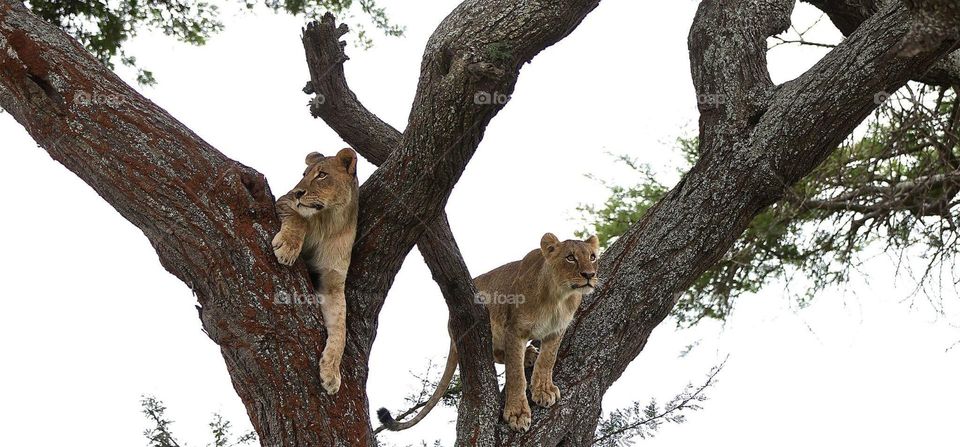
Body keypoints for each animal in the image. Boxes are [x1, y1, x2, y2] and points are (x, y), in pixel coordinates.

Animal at [272, 148, 359, 395]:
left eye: (322, 175)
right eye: (304, 174)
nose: (297, 192)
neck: (330, 220)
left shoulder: (332, 282)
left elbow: (340, 329)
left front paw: (331, 374)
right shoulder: (283, 201)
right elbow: (298, 218)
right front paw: (287, 248)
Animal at [377, 233, 599, 432]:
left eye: (592, 257)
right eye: (570, 257)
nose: (589, 275)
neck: (558, 297)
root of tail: (450, 326)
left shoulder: (557, 330)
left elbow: (547, 360)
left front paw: (543, 390)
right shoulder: (515, 330)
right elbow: (515, 375)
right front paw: (517, 413)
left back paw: (529, 355)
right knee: (498, 355)